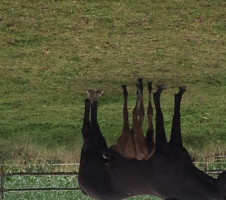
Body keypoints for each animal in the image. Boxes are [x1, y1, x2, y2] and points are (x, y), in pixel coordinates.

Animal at [78, 79, 226, 199]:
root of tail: (82, 187)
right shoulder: (169, 144)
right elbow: (170, 115)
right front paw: (173, 93)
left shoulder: (165, 145)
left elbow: (165, 115)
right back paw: (93, 97)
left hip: (92, 150)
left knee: (89, 130)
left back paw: (92, 98)